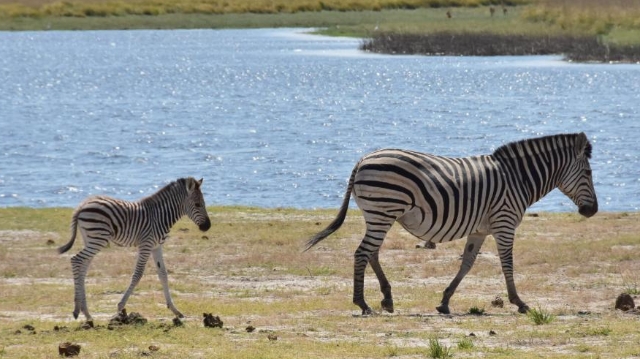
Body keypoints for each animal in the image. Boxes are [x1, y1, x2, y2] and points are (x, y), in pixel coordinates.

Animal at [58, 178, 211, 324]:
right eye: (198, 204)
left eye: (203, 203)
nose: (208, 226)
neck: (160, 216)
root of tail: (82, 205)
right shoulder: (146, 245)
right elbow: (138, 274)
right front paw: (120, 307)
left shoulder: (156, 246)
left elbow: (163, 274)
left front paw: (175, 310)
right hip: (97, 239)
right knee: (76, 260)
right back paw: (79, 311)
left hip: (90, 239)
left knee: (83, 266)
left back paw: (85, 312)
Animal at [302, 132, 596, 316]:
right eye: (589, 172)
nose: (592, 210)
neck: (517, 179)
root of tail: (364, 158)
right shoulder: (504, 222)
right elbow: (507, 263)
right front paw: (519, 302)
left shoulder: (480, 230)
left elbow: (467, 264)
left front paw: (444, 302)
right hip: (383, 211)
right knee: (362, 253)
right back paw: (363, 303)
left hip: (379, 214)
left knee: (371, 253)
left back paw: (387, 298)